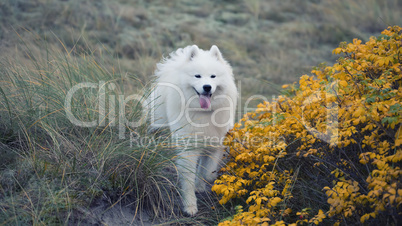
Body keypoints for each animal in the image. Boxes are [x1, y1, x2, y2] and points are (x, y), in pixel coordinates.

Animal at [147, 44, 236, 215]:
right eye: (197, 76)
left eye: (213, 76)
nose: (207, 87)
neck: (203, 113)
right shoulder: (188, 149)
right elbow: (188, 179)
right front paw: (190, 206)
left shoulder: (214, 144)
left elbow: (207, 172)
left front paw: (201, 184)